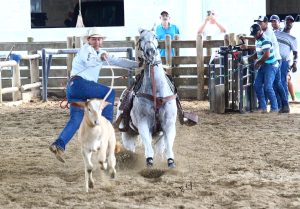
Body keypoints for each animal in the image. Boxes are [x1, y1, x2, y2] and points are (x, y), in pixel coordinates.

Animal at [116, 27, 178, 168]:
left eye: (155, 36)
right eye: (140, 39)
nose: (150, 52)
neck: (157, 93)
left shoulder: (169, 124)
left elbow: (168, 146)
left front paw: (170, 162)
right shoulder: (143, 124)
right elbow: (148, 148)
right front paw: (149, 162)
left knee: (160, 148)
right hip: (127, 135)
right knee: (131, 148)